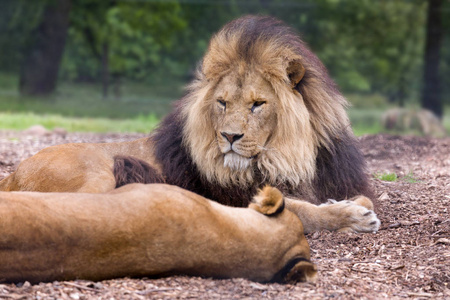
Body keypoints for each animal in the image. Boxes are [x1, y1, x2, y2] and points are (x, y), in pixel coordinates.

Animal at [0, 15, 380, 233]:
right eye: (222, 103)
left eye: (258, 104)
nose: (229, 136)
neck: (287, 156)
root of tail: (13, 174)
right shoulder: (236, 199)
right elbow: (300, 209)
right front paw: (352, 216)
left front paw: (345, 205)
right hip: (98, 173)